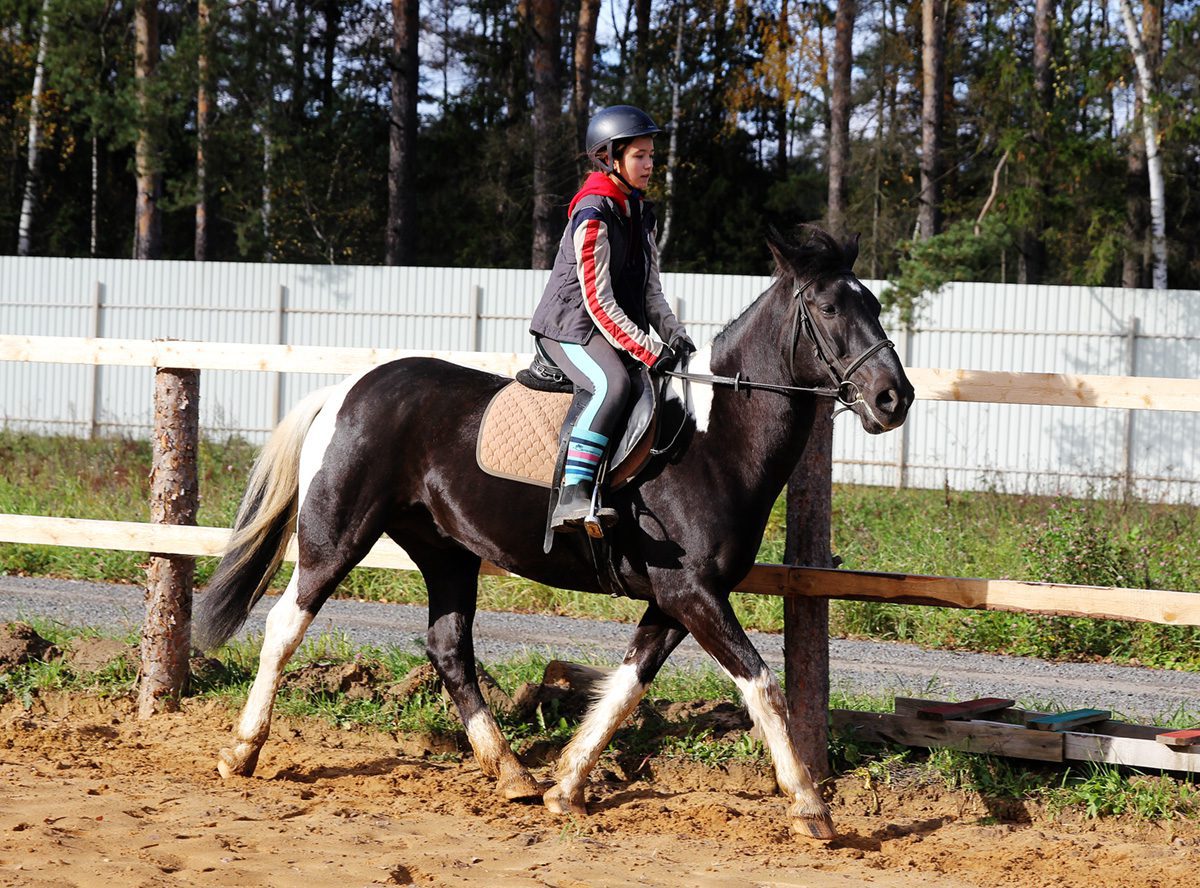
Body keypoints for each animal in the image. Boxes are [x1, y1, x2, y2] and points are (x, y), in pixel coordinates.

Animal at [194, 226, 907, 840]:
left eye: (873, 303)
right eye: (829, 307)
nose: (894, 398)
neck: (712, 438)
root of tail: (346, 389)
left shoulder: (675, 601)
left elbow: (627, 684)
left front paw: (566, 787)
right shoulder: (692, 594)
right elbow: (761, 684)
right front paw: (811, 806)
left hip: (447, 553)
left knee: (448, 647)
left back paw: (512, 773)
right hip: (339, 534)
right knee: (286, 623)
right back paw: (241, 751)